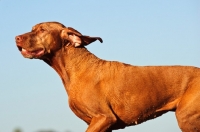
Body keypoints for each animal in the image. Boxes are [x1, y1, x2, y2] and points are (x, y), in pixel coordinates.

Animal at [15, 21, 200, 131]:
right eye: (32, 29)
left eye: (42, 30)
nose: (16, 37)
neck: (74, 68)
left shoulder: (104, 118)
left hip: (186, 117)